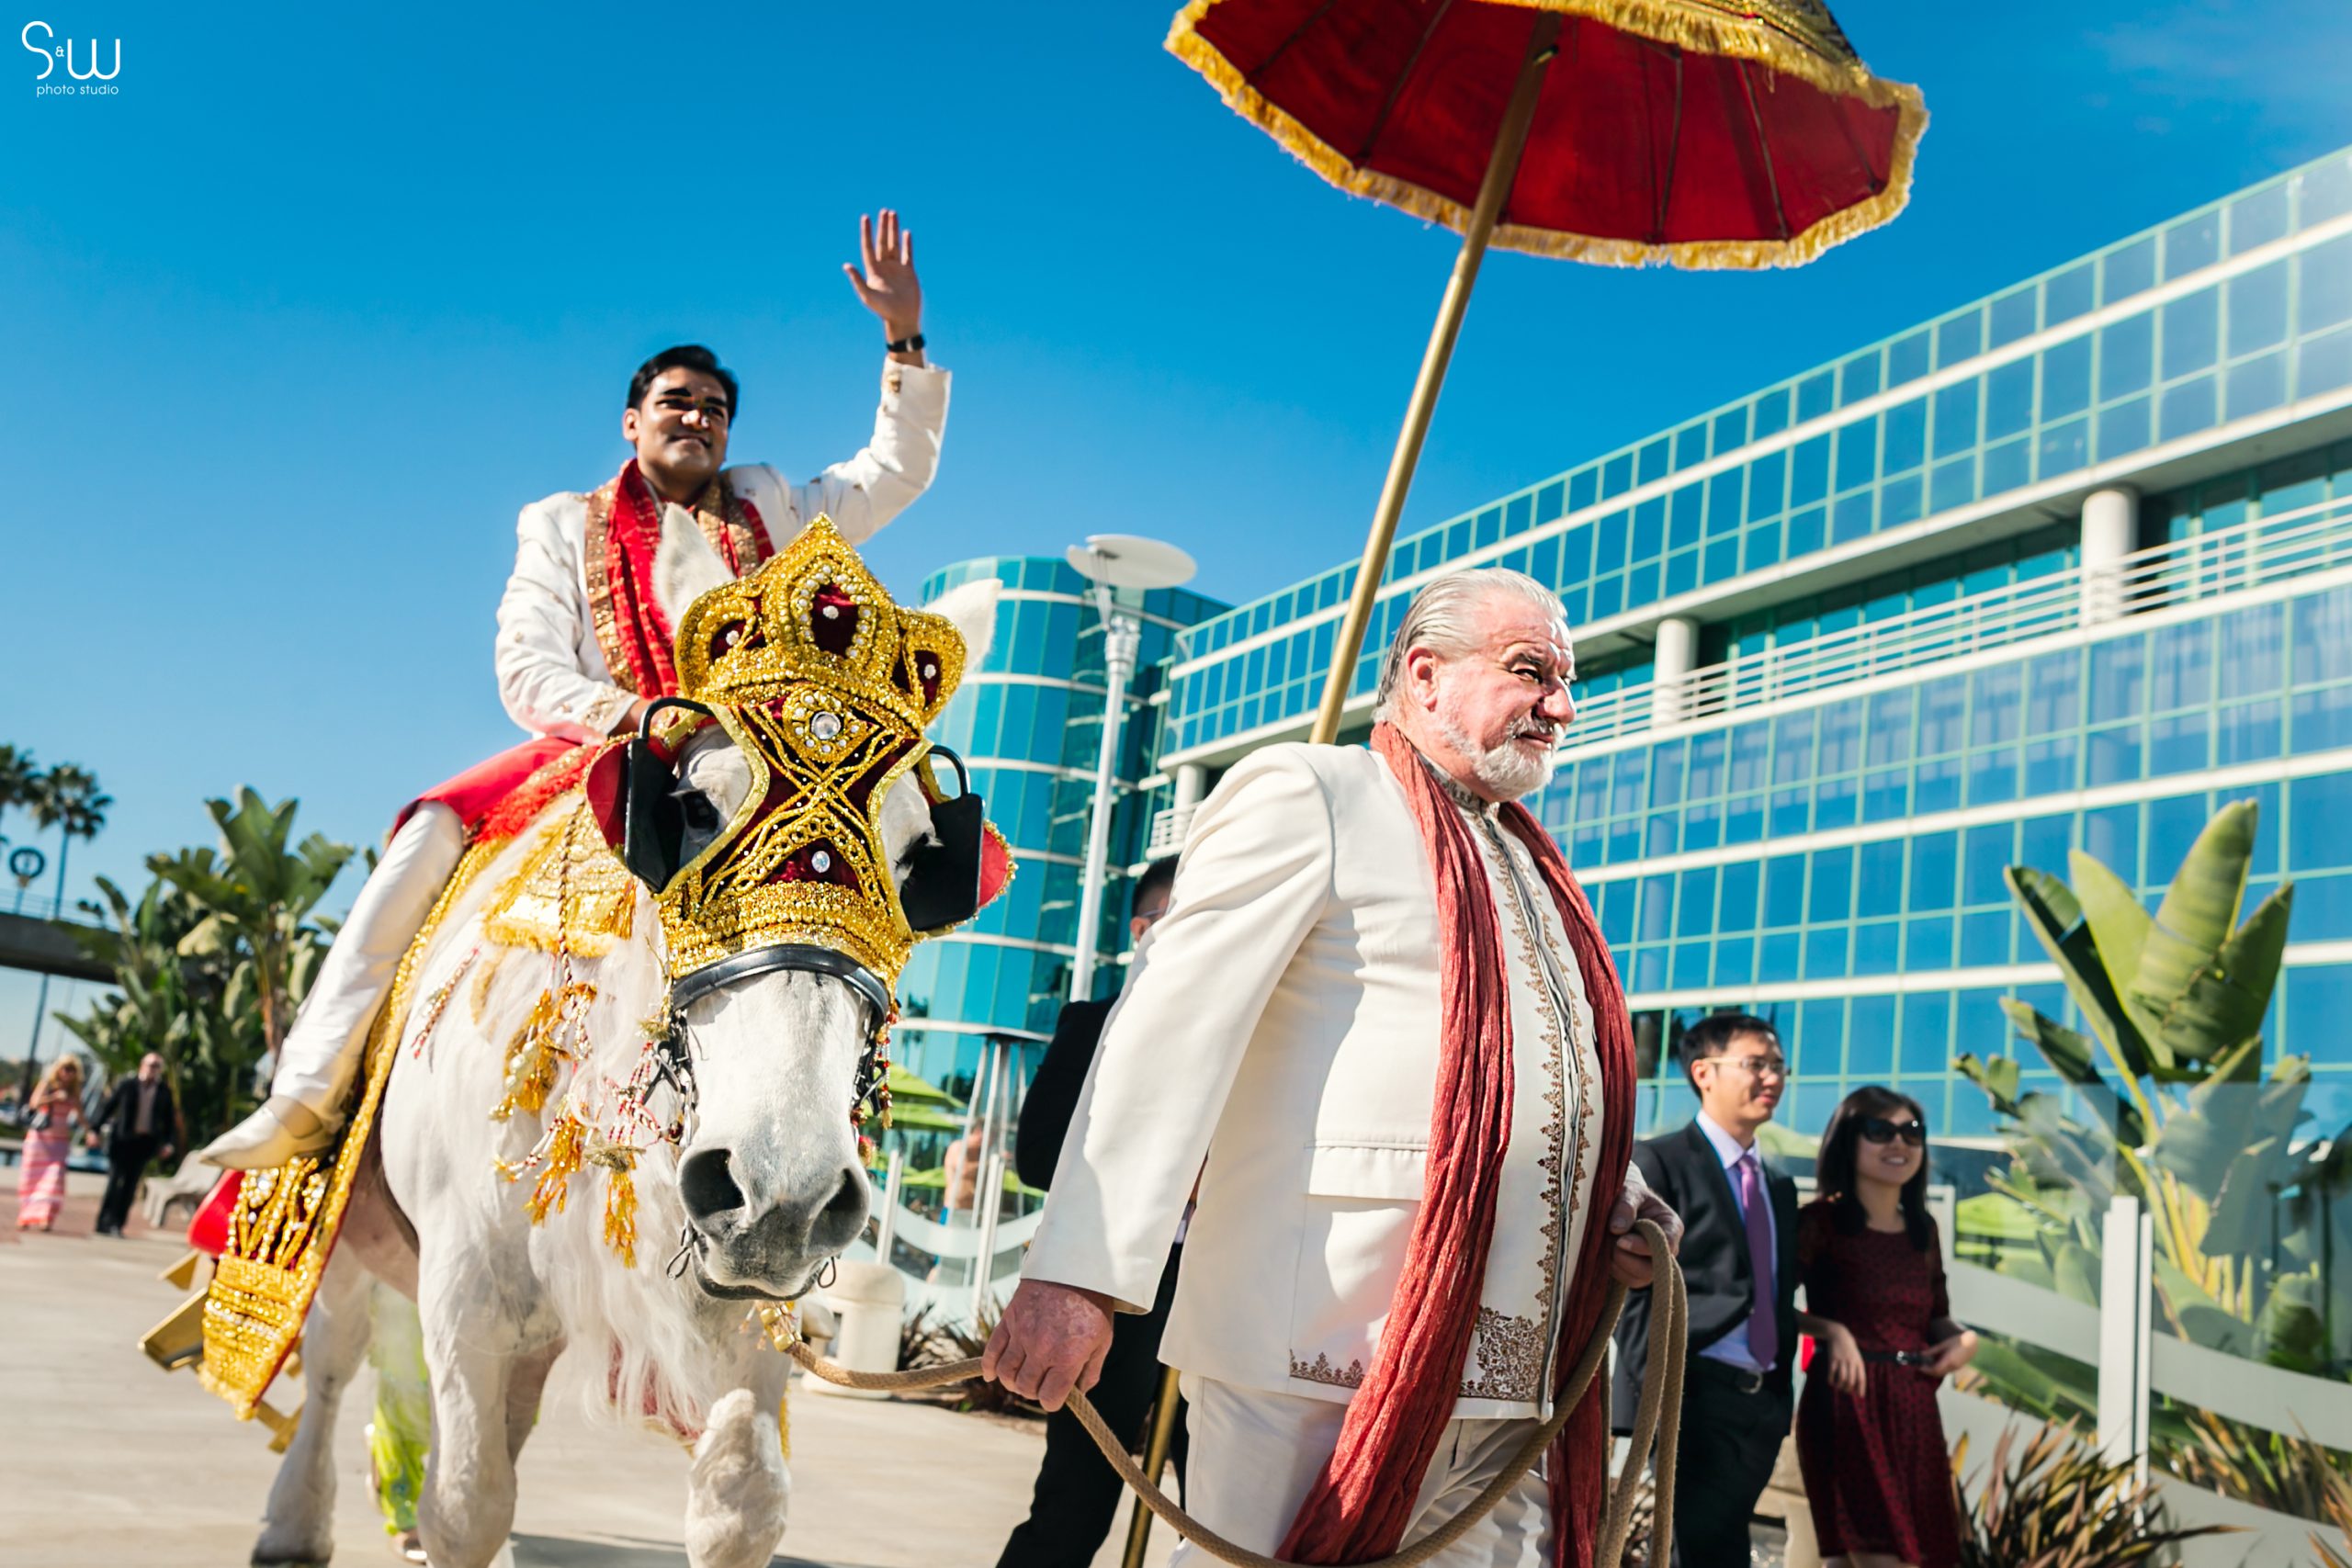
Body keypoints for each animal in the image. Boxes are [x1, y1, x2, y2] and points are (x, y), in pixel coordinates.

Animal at [245, 533, 992, 1561]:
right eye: (694, 810)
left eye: (921, 858)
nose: (784, 1191)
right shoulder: (467, 1289)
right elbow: (467, 1500)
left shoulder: (746, 1294)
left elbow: (740, 1501)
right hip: (346, 1218)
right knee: (333, 1358)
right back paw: (295, 1518)